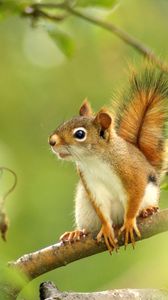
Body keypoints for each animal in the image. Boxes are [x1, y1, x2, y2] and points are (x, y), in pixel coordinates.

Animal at [48, 68, 168, 253]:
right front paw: (106, 229)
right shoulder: (91, 183)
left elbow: (134, 197)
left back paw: (147, 210)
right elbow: (102, 208)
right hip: (84, 208)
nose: (52, 141)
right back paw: (77, 233)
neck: (94, 160)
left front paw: (129, 222)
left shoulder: (132, 174)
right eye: (65, 122)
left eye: (80, 134)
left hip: (149, 194)